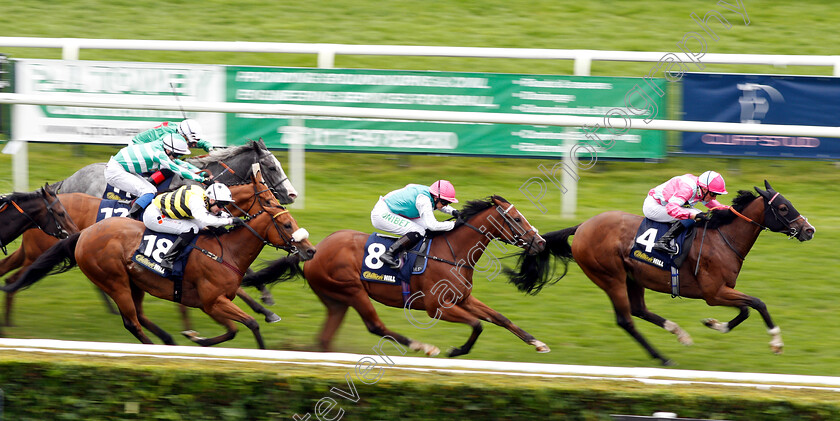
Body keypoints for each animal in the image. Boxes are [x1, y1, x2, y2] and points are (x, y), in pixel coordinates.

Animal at [4, 171, 316, 348]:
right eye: (285, 224)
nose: (310, 250)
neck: (225, 250)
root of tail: (83, 234)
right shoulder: (211, 302)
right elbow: (245, 325)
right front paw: (199, 337)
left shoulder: (215, 300)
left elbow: (238, 321)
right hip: (114, 279)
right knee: (131, 321)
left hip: (134, 281)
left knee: (138, 314)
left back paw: (167, 340)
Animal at [244, 195, 544, 356]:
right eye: (517, 219)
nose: (540, 242)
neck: (454, 252)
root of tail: (314, 251)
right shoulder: (437, 307)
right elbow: (477, 325)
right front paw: (457, 350)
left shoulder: (463, 299)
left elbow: (499, 318)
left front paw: (537, 342)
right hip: (352, 290)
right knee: (376, 326)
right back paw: (422, 346)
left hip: (336, 300)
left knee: (326, 338)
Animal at [506, 180, 812, 364]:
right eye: (783, 207)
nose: (809, 230)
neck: (722, 238)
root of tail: (581, 227)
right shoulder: (714, 293)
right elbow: (758, 304)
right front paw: (776, 342)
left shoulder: (721, 292)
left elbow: (746, 310)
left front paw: (714, 324)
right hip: (610, 276)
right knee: (626, 319)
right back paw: (662, 357)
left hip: (634, 276)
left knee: (639, 310)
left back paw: (679, 333)